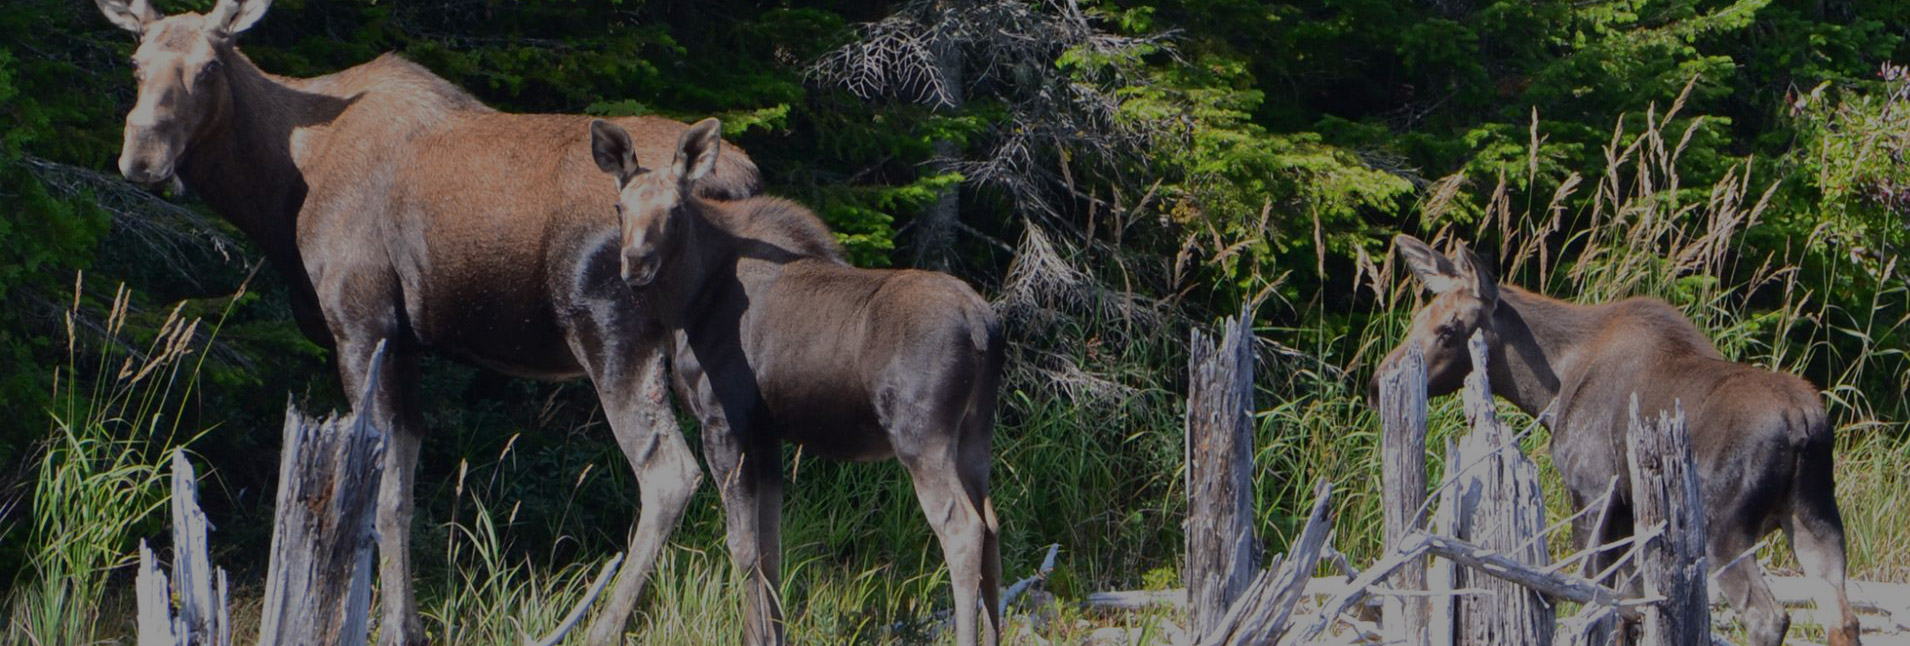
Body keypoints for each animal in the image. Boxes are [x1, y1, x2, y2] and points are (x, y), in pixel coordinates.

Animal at [91, 1, 760, 646]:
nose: (142, 158)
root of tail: (741, 178)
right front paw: (404, 621)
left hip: (610, 330)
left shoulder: (363, 326)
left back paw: (602, 626)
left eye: (209, 66)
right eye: (135, 63)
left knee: (670, 473)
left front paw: (392, 626)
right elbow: (405, 490)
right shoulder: (406, 344)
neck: (279, 190)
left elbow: (382, 496)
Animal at [592, 117, 1016, 646]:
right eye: (620, 206)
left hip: (923, 435)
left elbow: (741, 545)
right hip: (976, 432)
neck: (688, 303)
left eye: (674, 209)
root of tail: (985, 328)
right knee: (993, 524)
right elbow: (771, 547)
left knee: (962, 527)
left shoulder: (724, 420)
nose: (635, 263)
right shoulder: (767, 431)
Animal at [1382, 235, 1856, 646]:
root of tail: (1804, 425)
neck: (1549, 393)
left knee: (1768, 616)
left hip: (1727, 528)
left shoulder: (1592, 492)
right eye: (1418, 318)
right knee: (1842, 617)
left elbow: (1593, 595)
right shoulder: (1629, 509)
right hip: (1817, 518)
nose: (1375, 382)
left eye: (1448, 328)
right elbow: (1632, 605)